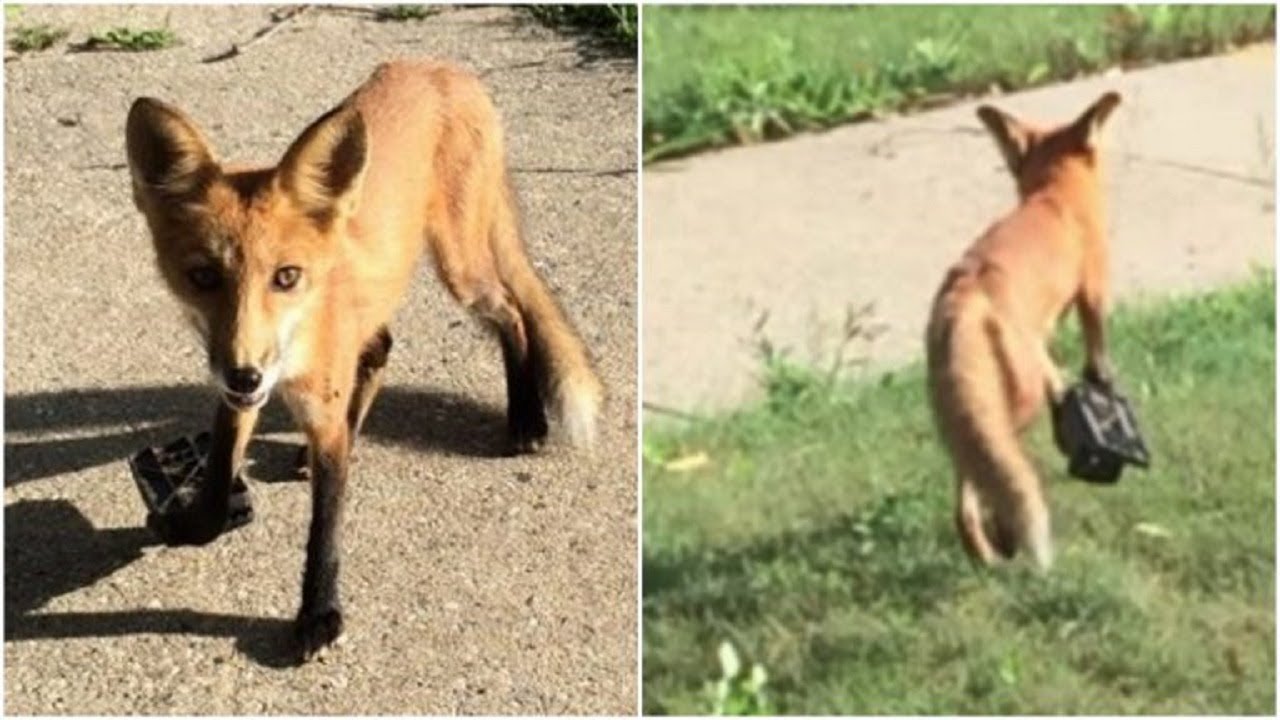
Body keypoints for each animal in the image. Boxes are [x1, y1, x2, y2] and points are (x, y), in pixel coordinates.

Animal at [125, 60, 604, 659]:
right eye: (203, 276)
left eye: (286, 276)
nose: (245, 373)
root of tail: (442, 67)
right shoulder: (240, 387)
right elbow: (217, 475)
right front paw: (196, 525)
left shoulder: (303, 398)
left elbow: (324, 528)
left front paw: (319, 615)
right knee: (382, 348)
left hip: (462, 269)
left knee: (513, 313)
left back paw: (526, 420)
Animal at [925, 91, 1122, 570]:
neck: (1053, 197)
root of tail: (965, 296)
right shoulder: (1093, 291)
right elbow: (1097, 356)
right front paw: (1100, 391)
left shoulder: (1045, 341)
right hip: (1017, 405)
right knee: (999, 474)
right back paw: (1008, 535)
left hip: (954, 422)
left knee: (967, 499)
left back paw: (987, 552)